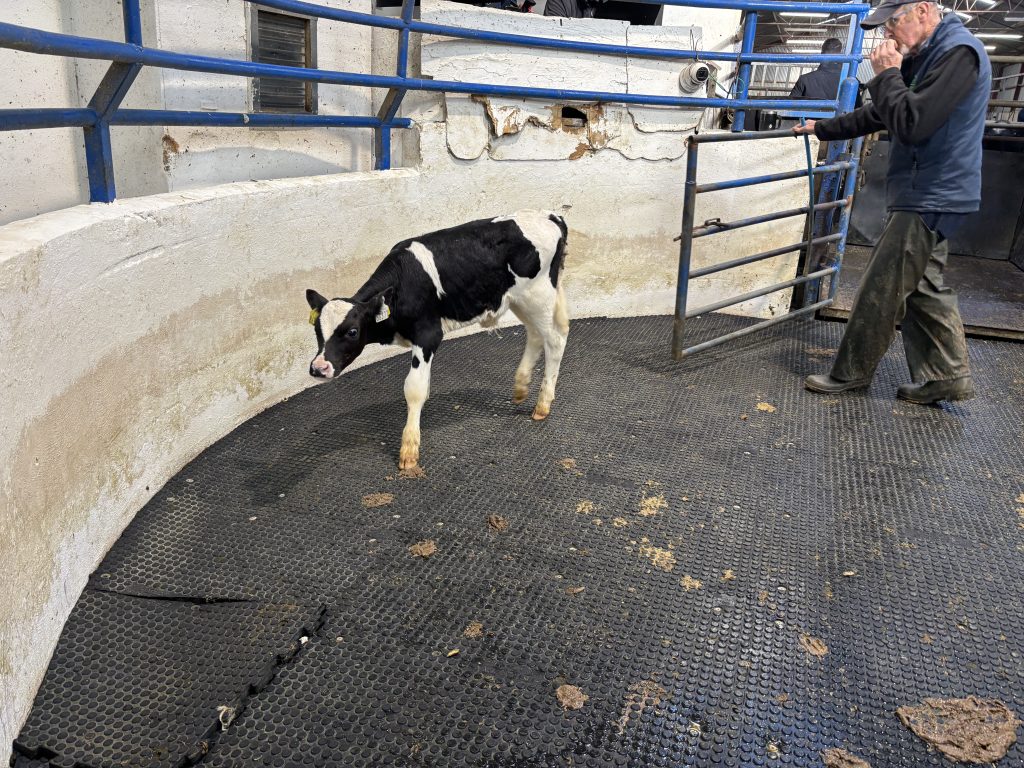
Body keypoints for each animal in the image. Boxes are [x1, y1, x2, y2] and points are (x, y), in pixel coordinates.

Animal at [305, 210, 570, 469]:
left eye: (352, 331)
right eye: (317, 329)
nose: (318, 368)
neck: (401, 285)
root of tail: (550, 216)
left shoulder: (428, 335)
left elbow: (413, 388)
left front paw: (409, 450)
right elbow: (423, 384)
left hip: (538, 295)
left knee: (555, 340)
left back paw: (542, 405)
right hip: (520, 300)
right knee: (535, 335)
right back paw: (520, 388)